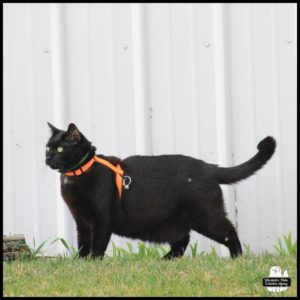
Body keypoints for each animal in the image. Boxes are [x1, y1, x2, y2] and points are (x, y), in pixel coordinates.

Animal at [45, 123, 276, 258]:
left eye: (60, 149)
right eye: (47, 147)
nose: (47, 158)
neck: (77, 174)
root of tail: (210, 167)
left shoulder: (101, 218)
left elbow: (98, 243)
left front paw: (93, 262)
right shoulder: (81, 220)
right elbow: (83, 242)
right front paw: (81, 262)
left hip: (206, 216)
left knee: (229, 232)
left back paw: (237, 258)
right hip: (172, 221)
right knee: (183, 240)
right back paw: (165, 261)